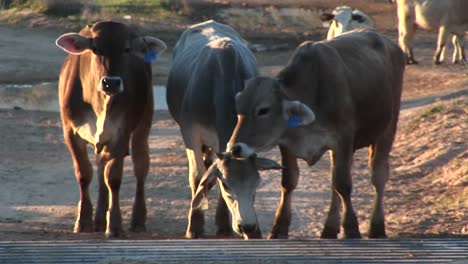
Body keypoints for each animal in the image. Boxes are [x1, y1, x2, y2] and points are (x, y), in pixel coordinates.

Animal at [54, 19, 166, 236]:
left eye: (127, 49)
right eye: (95, 48)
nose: (111, 83)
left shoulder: (121, 133)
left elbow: (113, 178)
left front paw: (114, 225)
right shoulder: (70, 132)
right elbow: (84, 174)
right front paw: (84, 221)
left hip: (143, 124)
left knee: (140, 167)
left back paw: (137, 220)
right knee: (100, 168)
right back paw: (98, 219)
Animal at [228, 28, 406, 239]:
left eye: (263, 110)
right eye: (238, 108)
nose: (234, 148)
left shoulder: (343, 140)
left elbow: (343, 184)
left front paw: (351, 228)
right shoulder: (287, 145)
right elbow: (289, 183)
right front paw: (279, 228)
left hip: (388, 129)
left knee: (377, 176)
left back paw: (377, 227)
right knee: (334, 182)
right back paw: (329, 228)